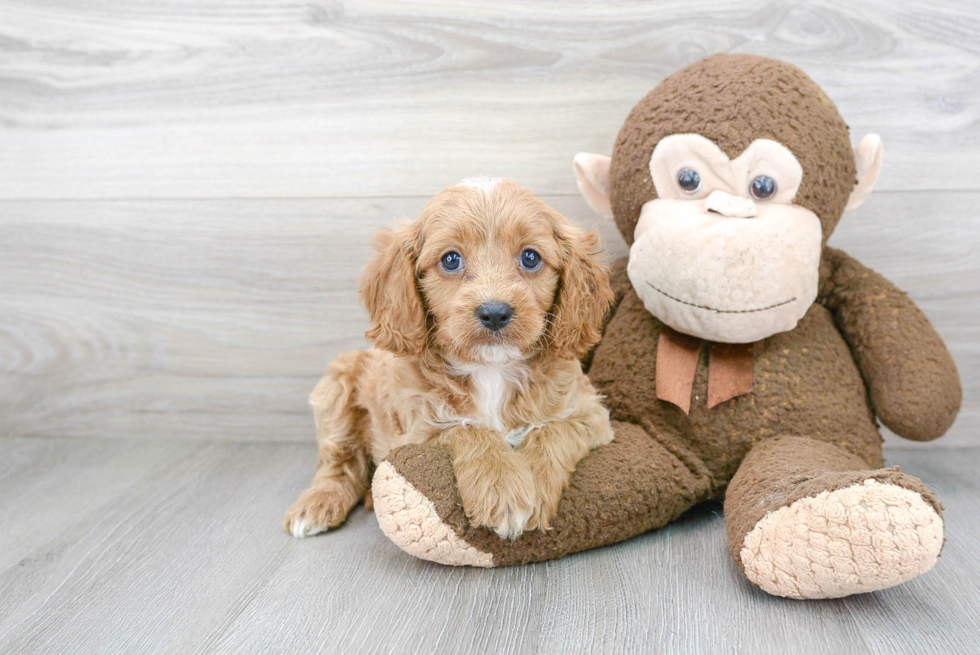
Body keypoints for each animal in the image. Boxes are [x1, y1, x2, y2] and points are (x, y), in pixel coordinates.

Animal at [284, 177, 616, 540]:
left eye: (530, 258)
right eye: (451, 260)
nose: (495, 313)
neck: (491, 370)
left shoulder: (591, 413)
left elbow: (552, 430)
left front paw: (536, 485)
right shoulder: (416, 429)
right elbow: (469, 428)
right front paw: (503, 488)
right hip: (336, 387)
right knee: (338, 462)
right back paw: (317, 504)